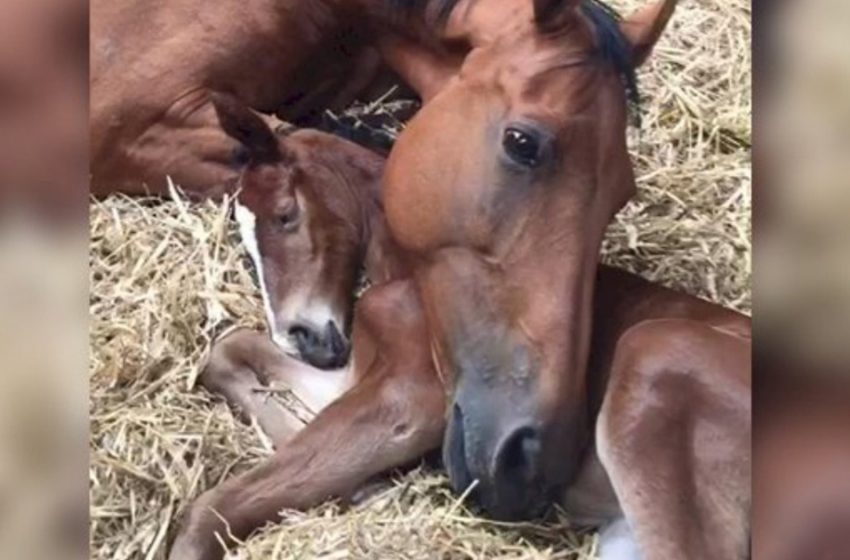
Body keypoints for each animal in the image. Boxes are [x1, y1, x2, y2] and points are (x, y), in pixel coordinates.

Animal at [167, 94, 748, 556]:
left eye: (285, 214)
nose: (301, 337)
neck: (412, 273)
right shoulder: (358, 374)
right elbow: (228, 353)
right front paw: (360, 484)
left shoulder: (411, 398)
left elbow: (214, 508)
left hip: (653, 352)